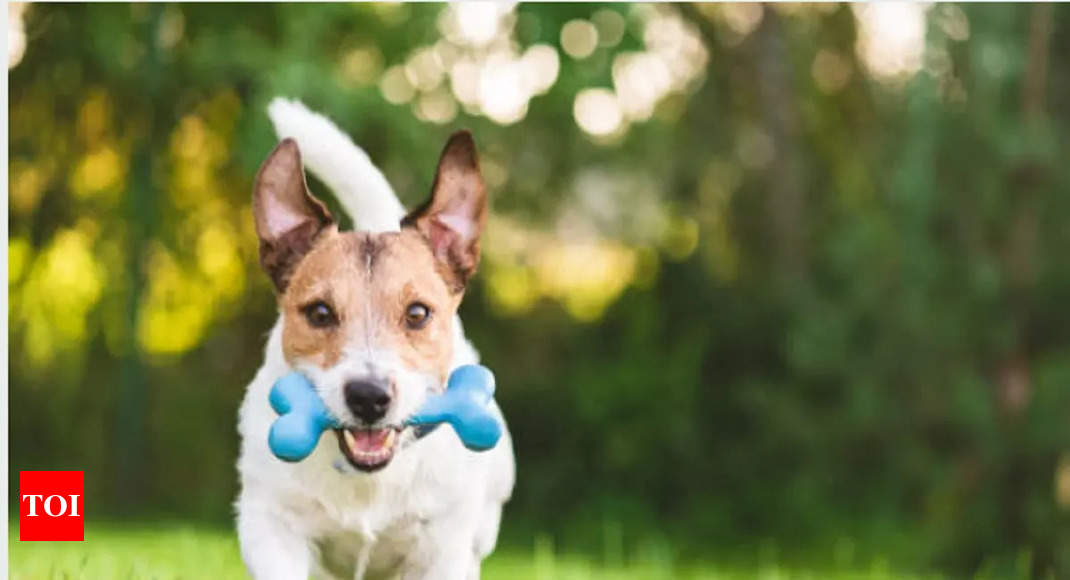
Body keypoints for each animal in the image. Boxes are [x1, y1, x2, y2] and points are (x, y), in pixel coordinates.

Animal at [235, 100, 517, 580]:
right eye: (320, 313)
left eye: (418, 313)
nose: (369, 397)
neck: (367, 477)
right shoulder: (271, 524)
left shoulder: (442, 548)